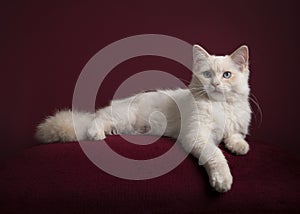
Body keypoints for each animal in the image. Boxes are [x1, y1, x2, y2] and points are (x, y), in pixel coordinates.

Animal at [35, 44, 251, 192]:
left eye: (226, 75)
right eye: (207, 74)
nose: (214, 84)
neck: (221, 106)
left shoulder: (235, 127)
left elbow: (234, 136)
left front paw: (240, 147)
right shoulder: (196, 135)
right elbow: (216, 155)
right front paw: (222, 181)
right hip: (123, 116)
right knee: (97, 121)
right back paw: (96, 133)